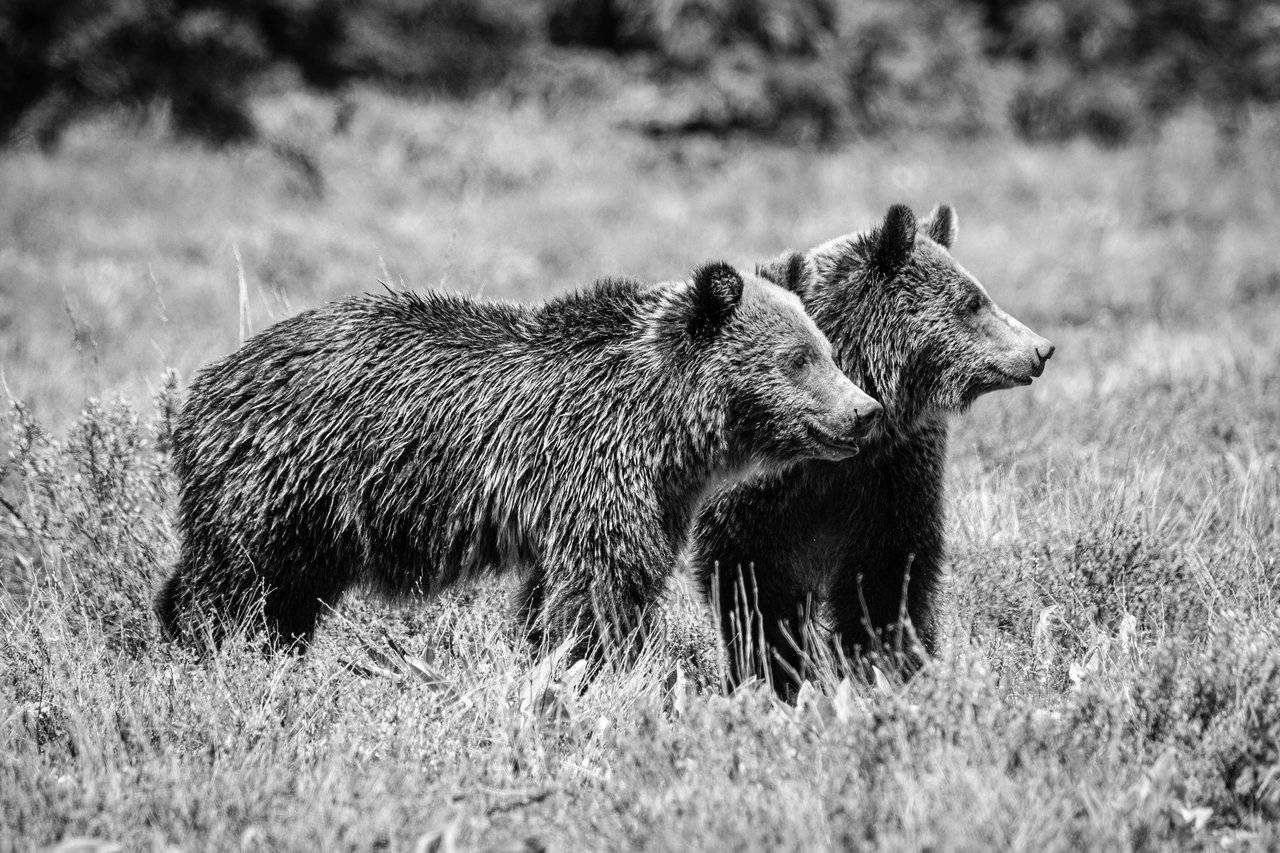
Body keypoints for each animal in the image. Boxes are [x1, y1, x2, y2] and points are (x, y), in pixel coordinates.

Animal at [155, 261, 883, 660]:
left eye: (827, 349)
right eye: (798, 358)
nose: (865, 411)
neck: (669, 423)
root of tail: (208, 381)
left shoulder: (643, 491)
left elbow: (561, 591)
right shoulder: (598, 466)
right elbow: (602, 582)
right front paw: (601, 664)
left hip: (312, 513)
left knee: (286, 590)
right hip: (281, 478)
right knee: (233, 576)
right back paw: (204, 645)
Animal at [690, 204, 1055, 696]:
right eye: (973, 302)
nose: (1041, 349)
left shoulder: (893, 470)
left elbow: (887, 571)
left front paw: (883, 661)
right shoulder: (761, 492)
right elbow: (754, 580)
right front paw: (773, 672)